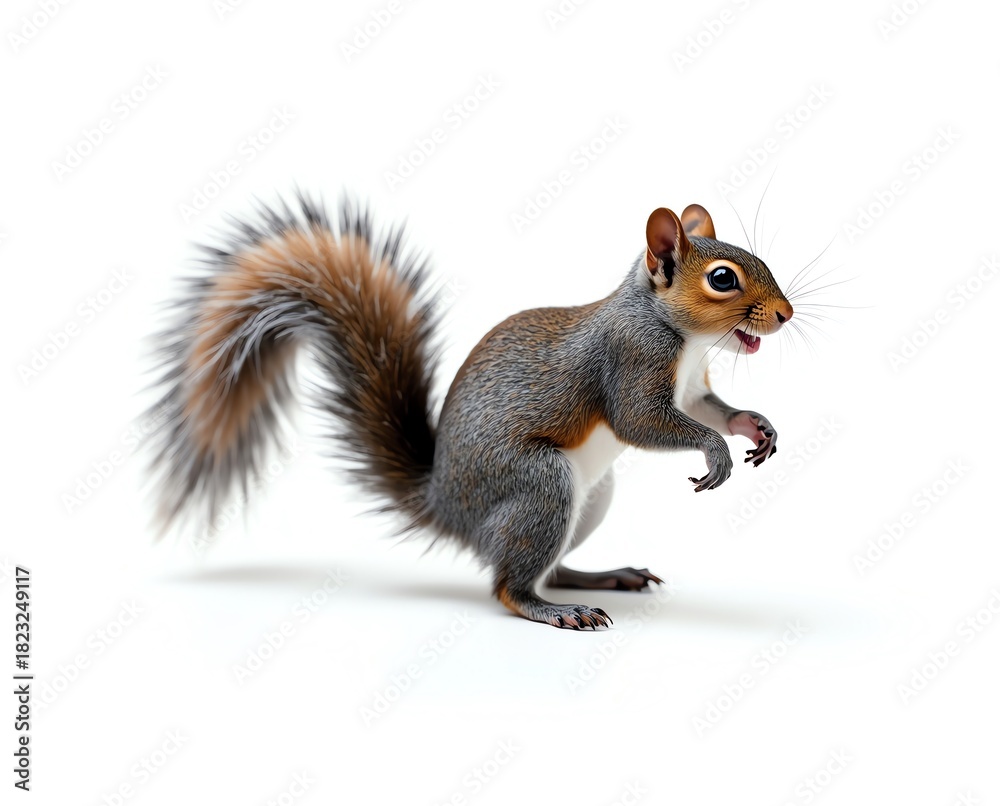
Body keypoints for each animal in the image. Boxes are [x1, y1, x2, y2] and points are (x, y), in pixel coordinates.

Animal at [147, 194, 793, 630]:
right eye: (722, 279)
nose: (786, 314)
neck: (683, 339)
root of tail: (447, 504)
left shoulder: (692, 389)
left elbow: (713, 409)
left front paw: (754, 426)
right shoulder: (629, 362)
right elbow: (640, 422)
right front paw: (714, 451)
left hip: (590, 498)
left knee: (547, 566)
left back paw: (603, 578)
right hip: (541, 485)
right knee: (509, 585)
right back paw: (557, 610)